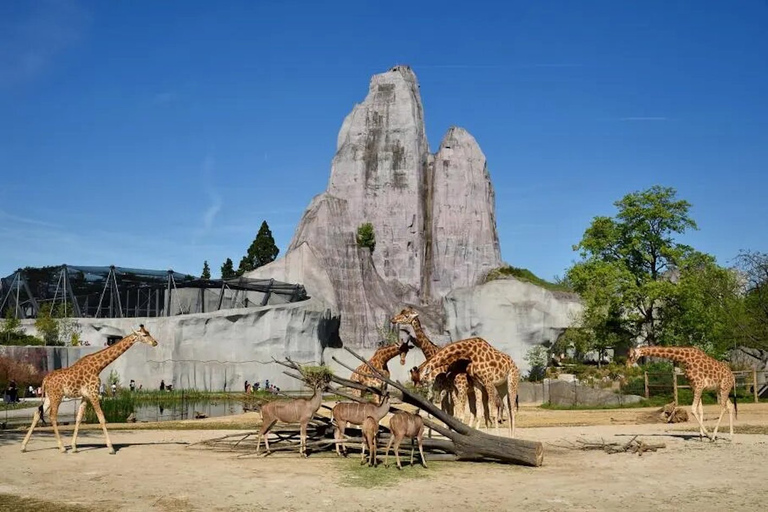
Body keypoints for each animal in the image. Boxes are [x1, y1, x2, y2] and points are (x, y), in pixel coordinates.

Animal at [21, 326, 159, 454]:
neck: (98, 367)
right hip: (57, 396)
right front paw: (111, 448)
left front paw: (74, 447)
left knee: (37, 413)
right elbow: (102, 418)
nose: (155, 342)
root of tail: (45, 380)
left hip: (49, 397)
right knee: (52, 416)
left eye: (148, 333)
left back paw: (23, 446)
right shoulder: (94, 393)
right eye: (145, 335)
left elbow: (79, 418)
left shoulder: (85, 396)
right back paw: (61, 447)